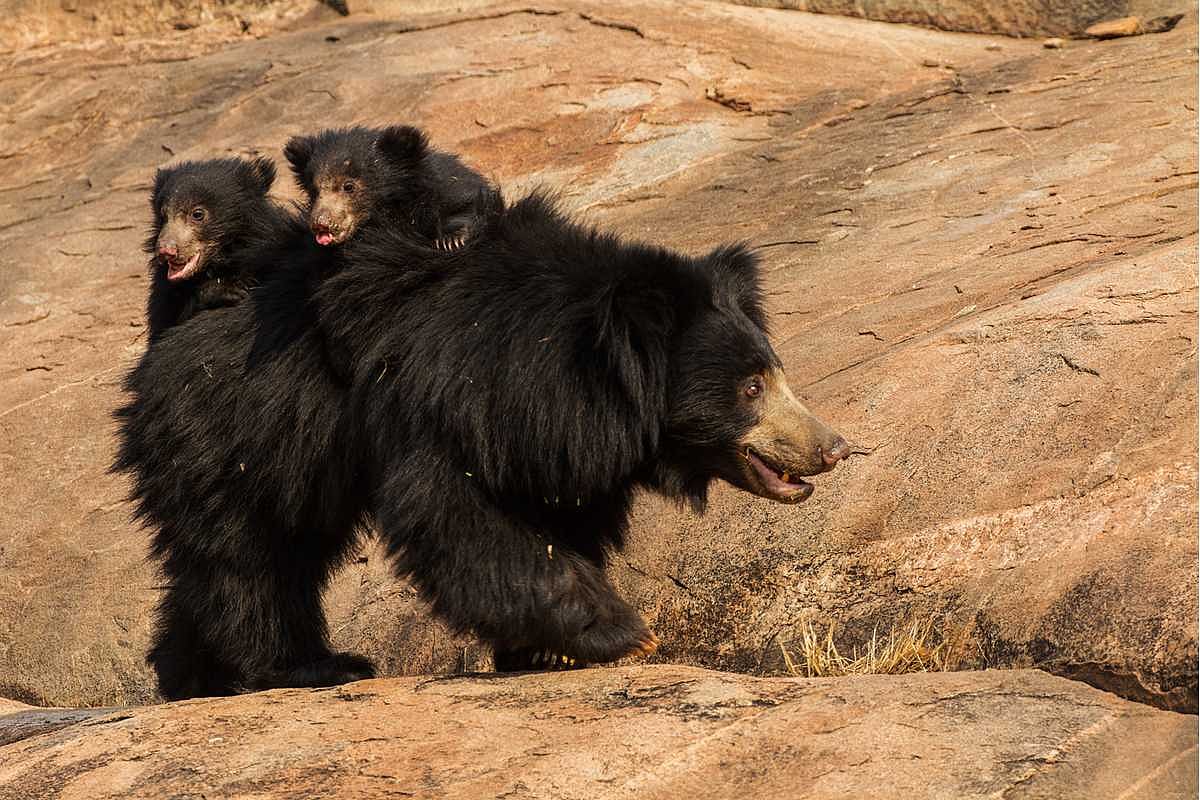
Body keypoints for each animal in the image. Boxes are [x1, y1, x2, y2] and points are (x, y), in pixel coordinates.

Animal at [113, 190, 849, 699]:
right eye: (751, 387)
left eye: (774, 373)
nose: (833, 447)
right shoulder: (445, 404)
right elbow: (457, 519)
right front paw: (625, 634)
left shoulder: (546, 437)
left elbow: (551, 516)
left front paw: (546, 649)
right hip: (237, 432)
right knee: (255, 555)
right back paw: (306, 664)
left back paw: (191, 675)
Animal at [283, 124, 491, 251]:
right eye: (314, 191)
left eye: (348, 186)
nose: (321, 223)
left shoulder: (443, 188)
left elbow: (462, 204)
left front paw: (451, 240)